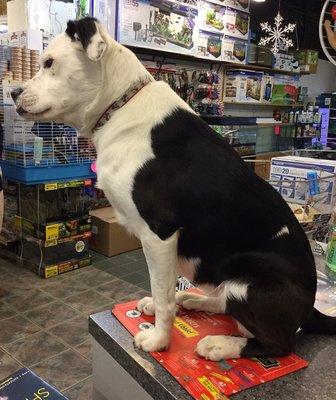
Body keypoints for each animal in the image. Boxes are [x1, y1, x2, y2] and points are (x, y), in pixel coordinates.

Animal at [12, 18, 336, 360]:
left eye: (49, 63)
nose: (14, 92)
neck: (120, 105)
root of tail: (311, 307)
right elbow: (163, 287)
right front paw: (155, 310)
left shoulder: (160, 234)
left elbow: (163, 292)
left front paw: (158, 340)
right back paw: (194, 299)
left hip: (249, 284)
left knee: (279, 343)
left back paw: (220, 344)